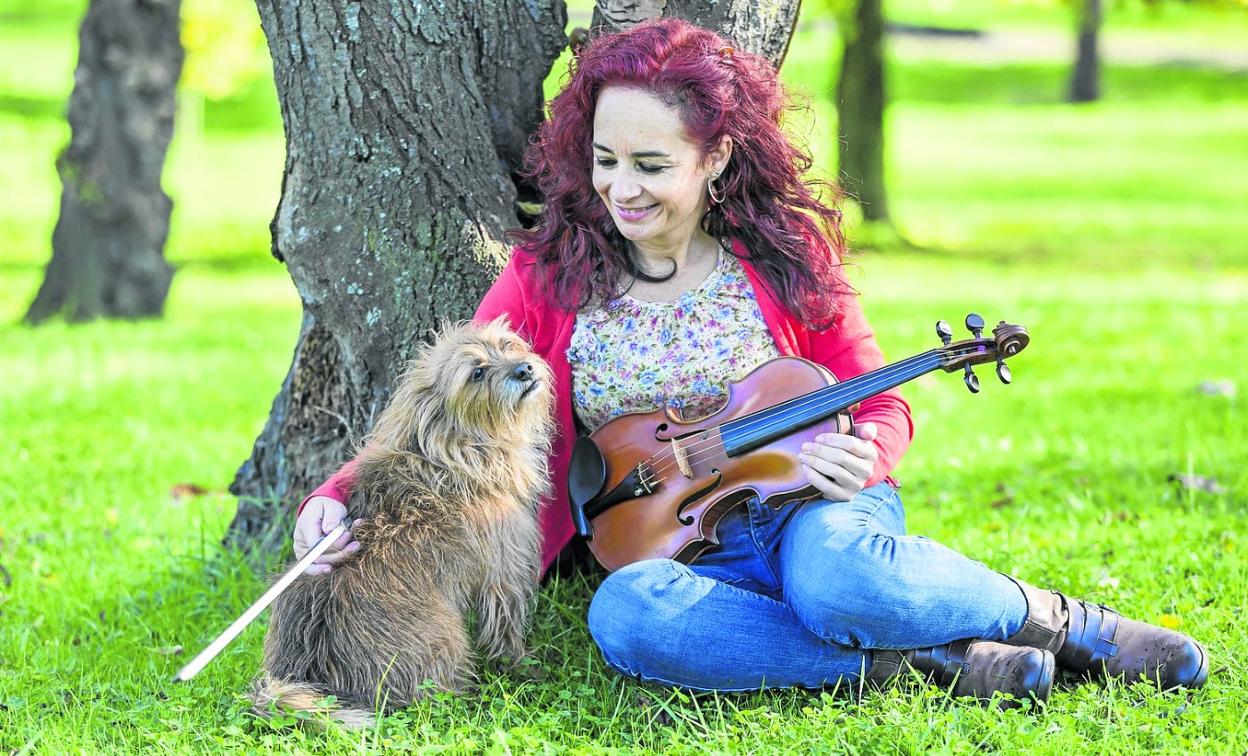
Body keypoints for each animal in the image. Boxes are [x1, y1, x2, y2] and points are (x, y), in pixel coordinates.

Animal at [250, 318, 554, 728]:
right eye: (476, 373)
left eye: (507, 345)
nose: (524, 369)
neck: (455, 455)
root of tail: (320, 677)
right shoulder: (503, 575)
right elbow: (506, 631)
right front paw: (522, 666)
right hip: (447, 637)